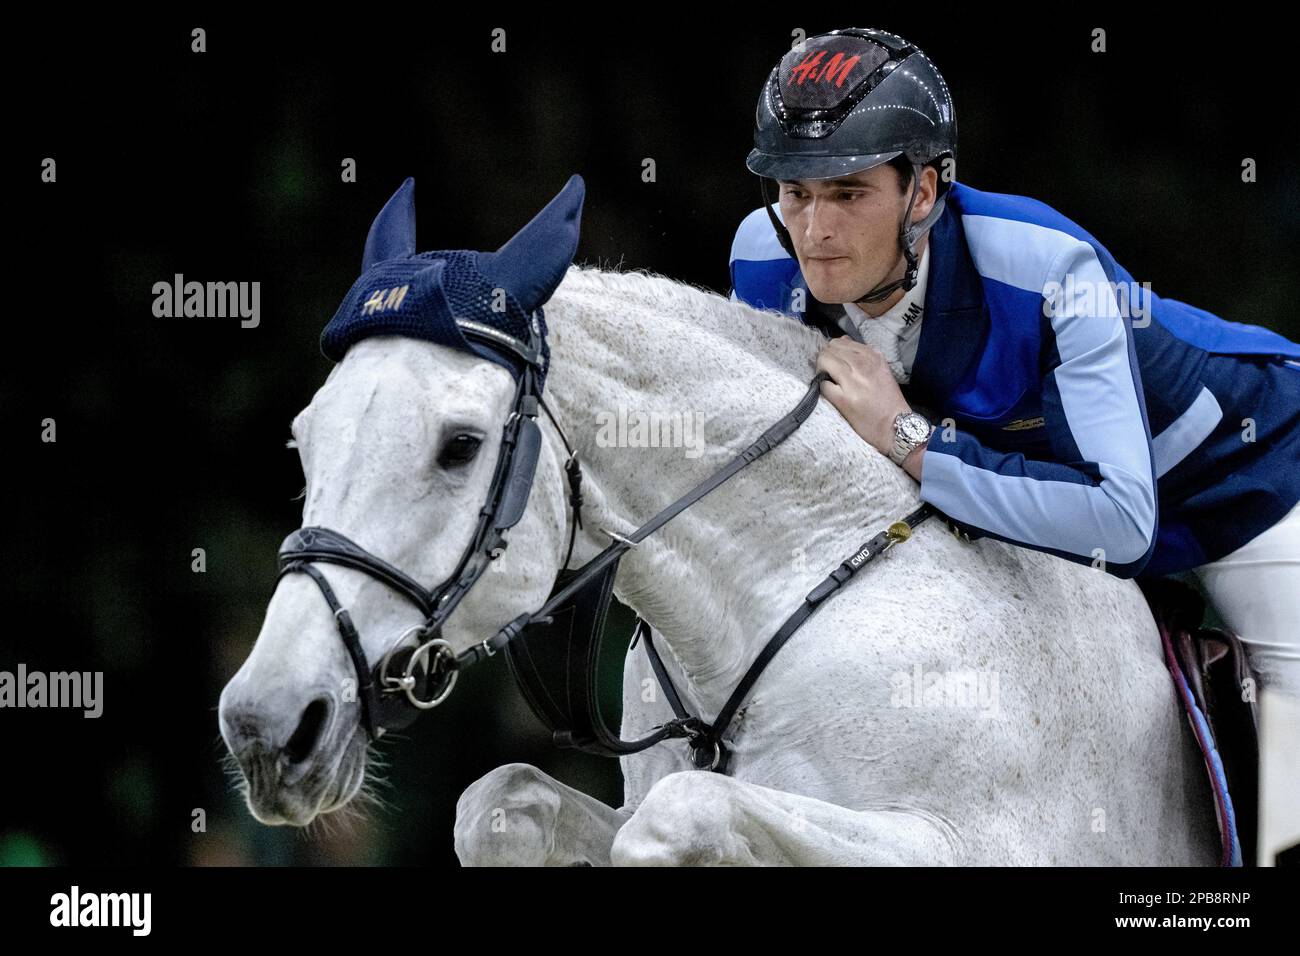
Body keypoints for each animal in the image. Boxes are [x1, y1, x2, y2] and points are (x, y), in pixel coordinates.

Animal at [218, 180, 1222, 868]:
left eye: (459, 446)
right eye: (306, 441)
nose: (267, 727)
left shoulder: (977, 842)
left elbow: (679, 818)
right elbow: (499, 806)